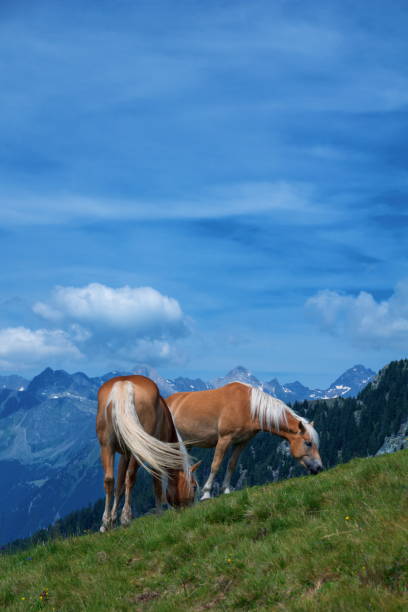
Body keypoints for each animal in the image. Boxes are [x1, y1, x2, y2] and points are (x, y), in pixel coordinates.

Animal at [95, 372, 198, 532]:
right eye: (194, 487)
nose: (189, 510)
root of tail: (124, 384)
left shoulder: (125, 455)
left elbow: (119, 486)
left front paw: (111, 520)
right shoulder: (156, 457)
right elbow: (157, 486)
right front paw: (160, 514)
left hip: (106, 446)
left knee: (109, 480)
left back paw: (105, 522)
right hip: (138, 451)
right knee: (130, 477)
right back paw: (126, 518)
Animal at [166, 384, 322, 500]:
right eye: (308, 443)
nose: (319, 467)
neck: (247, 406)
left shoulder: (241, 442)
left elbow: (231, 465)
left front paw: (226, 490)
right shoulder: (224, 439)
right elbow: (215, 465)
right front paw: (206, 493)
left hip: (186, 445)